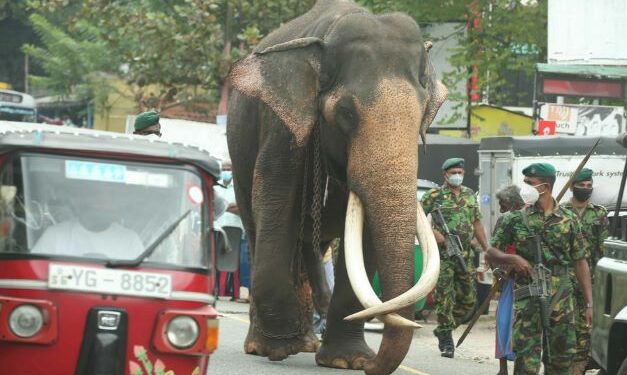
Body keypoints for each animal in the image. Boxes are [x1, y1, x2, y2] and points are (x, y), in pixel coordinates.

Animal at [228, 0, 448, 375]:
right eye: (345, 112)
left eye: (422, 114)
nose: (373, 365)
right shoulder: (282, 128)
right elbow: (275, 208)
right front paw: (279, 349)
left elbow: (364, 239)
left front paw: (347, 360)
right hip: (238, 156)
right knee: (257, 230)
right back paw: (267, 345)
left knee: (308, 246)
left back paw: (307, 341)